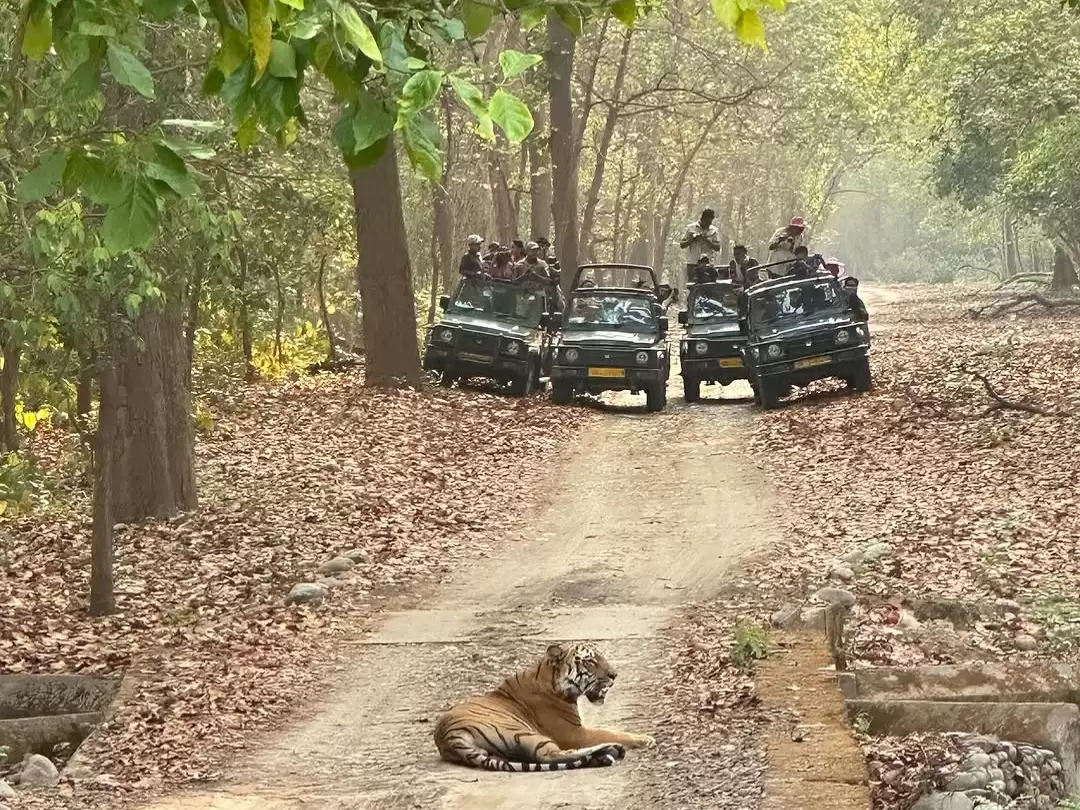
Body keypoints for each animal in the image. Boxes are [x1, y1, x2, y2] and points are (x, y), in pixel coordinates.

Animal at [433, 642, 655, 772]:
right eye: (591, 662)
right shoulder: (574, 733)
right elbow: (609, 732)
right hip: (522, 731)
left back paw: (606, 754)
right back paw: (611, 750)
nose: (614, 675)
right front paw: (645, 739)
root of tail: (448, 737)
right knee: (550, 754)